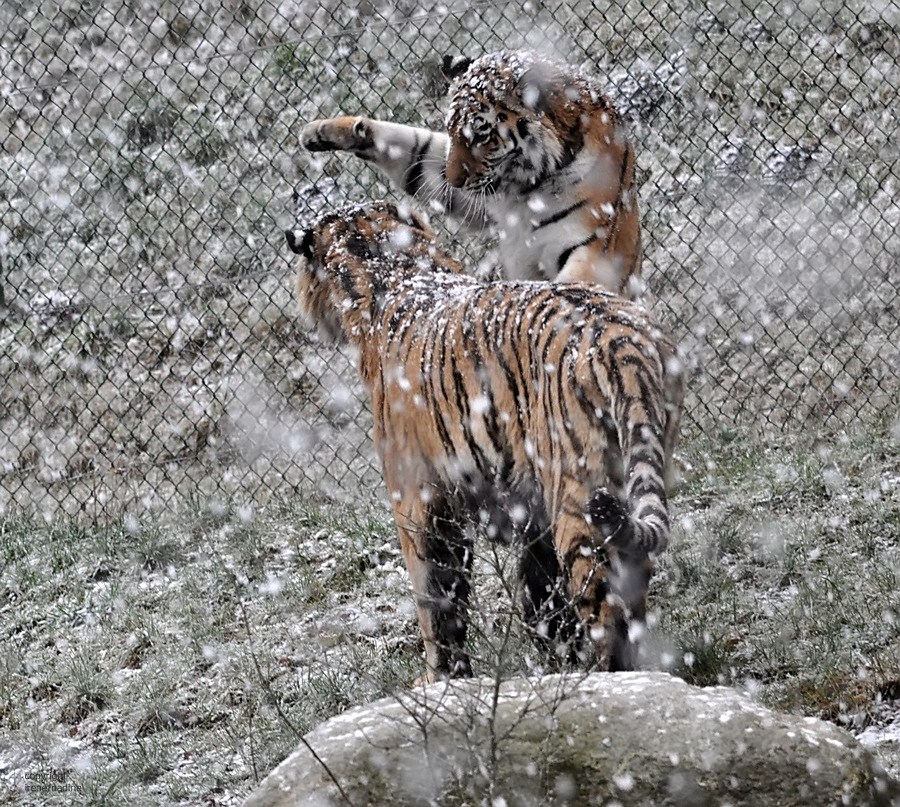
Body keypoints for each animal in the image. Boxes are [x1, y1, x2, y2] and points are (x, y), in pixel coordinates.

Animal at [284, 202, 684, 680]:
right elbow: (541, 593)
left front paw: (440, 678)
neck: (394, 269)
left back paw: (606, 678)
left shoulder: (418, 501)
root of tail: (623, 342)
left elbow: (436, 599)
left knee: (606, 606)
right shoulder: (531, 513)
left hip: (577, 496)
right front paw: (551, 661)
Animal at [298, 49, 644, 300]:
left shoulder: (593, 252)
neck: (527, 189)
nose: (454, 180)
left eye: (480, 135)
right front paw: (321, 131)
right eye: (451, 131)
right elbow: (411, 148)